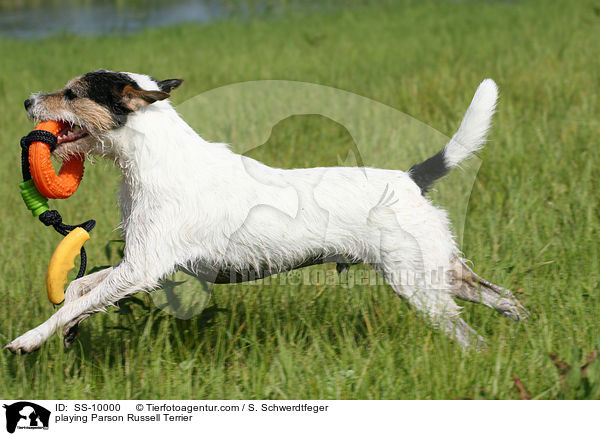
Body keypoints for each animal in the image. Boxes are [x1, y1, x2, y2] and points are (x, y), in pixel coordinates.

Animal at [5, 69, 528, 354]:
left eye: (73, 93)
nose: (26, 100)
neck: (152, 156)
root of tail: (409, 179)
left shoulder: (143, 268)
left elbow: (83, 298)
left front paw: (32, 339)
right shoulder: (139, 263)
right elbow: (79, 290)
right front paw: (70, 327)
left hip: (418, 286)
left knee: (468, 334)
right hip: (440, 273)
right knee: (500, 297)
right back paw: (519, 329)